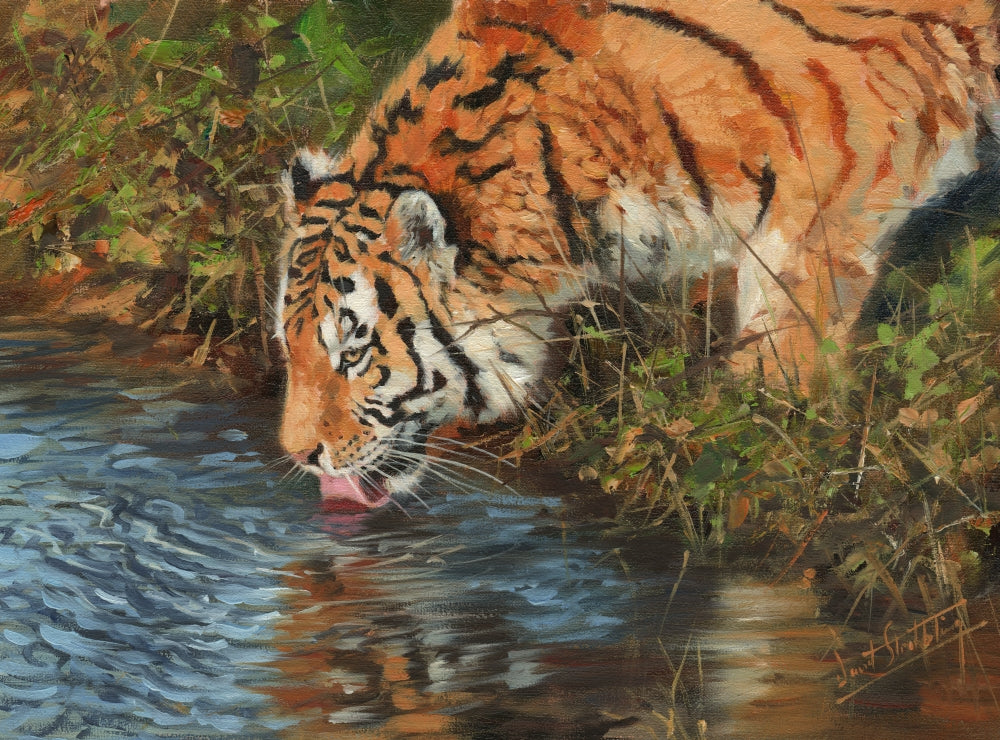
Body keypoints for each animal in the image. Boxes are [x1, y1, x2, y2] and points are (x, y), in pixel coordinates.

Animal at [276, 0, 1000, 510]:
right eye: (289, 348)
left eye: (354, 353)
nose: (299, 456)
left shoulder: (819, 232)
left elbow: (775, 389)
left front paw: (760, 462)